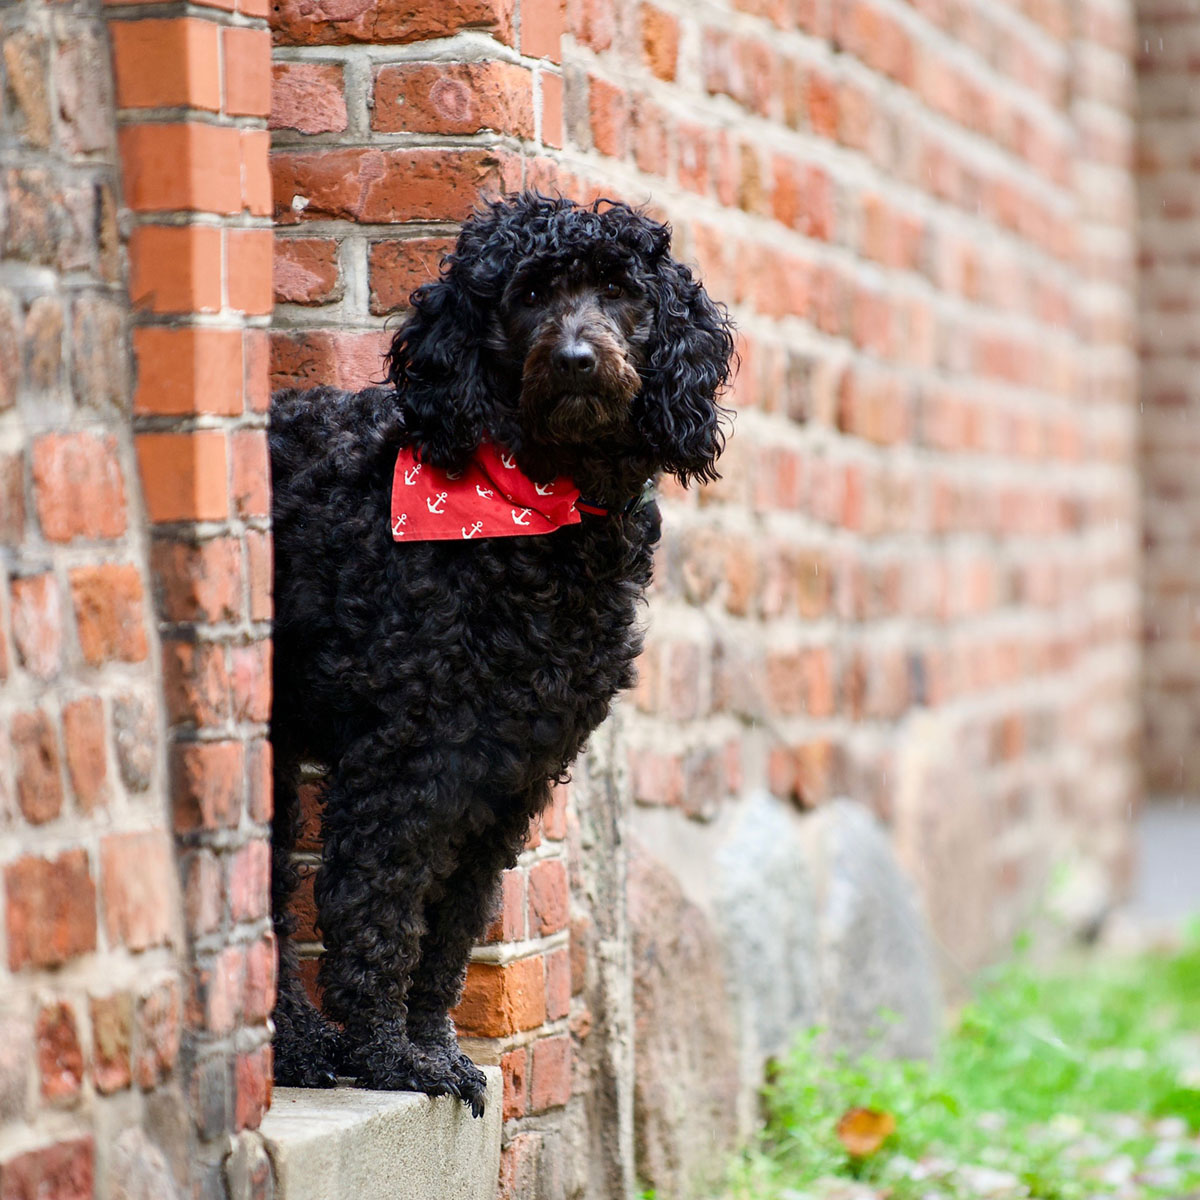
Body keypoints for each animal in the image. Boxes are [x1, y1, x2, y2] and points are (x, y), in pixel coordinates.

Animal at [268, 189, 734, 1113]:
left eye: (620, 291)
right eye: (529, 295)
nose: (578, 360)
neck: (536, 520)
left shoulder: (506, 774)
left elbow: (449, 931)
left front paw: (434, 1048)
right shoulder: (402, 759)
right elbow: (376, 910)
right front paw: (391, 1059)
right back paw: (301, 1045)